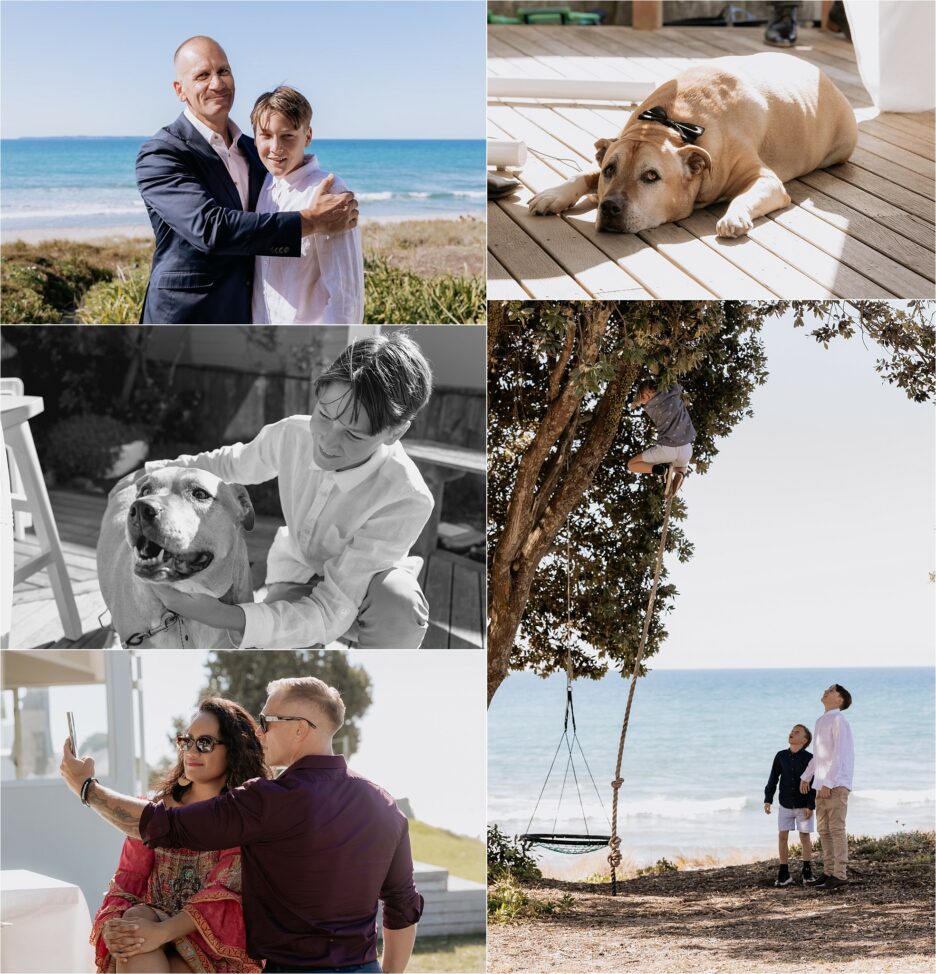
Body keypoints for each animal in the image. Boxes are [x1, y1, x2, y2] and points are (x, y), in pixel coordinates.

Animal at [528, 53, 856, 238]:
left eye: (651, 176)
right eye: (610, 170)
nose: (608, 206)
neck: (669, 125)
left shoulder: (766, 180)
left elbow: (745, 195)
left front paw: (734, 216)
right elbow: (583, 174)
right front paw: (552, 195)